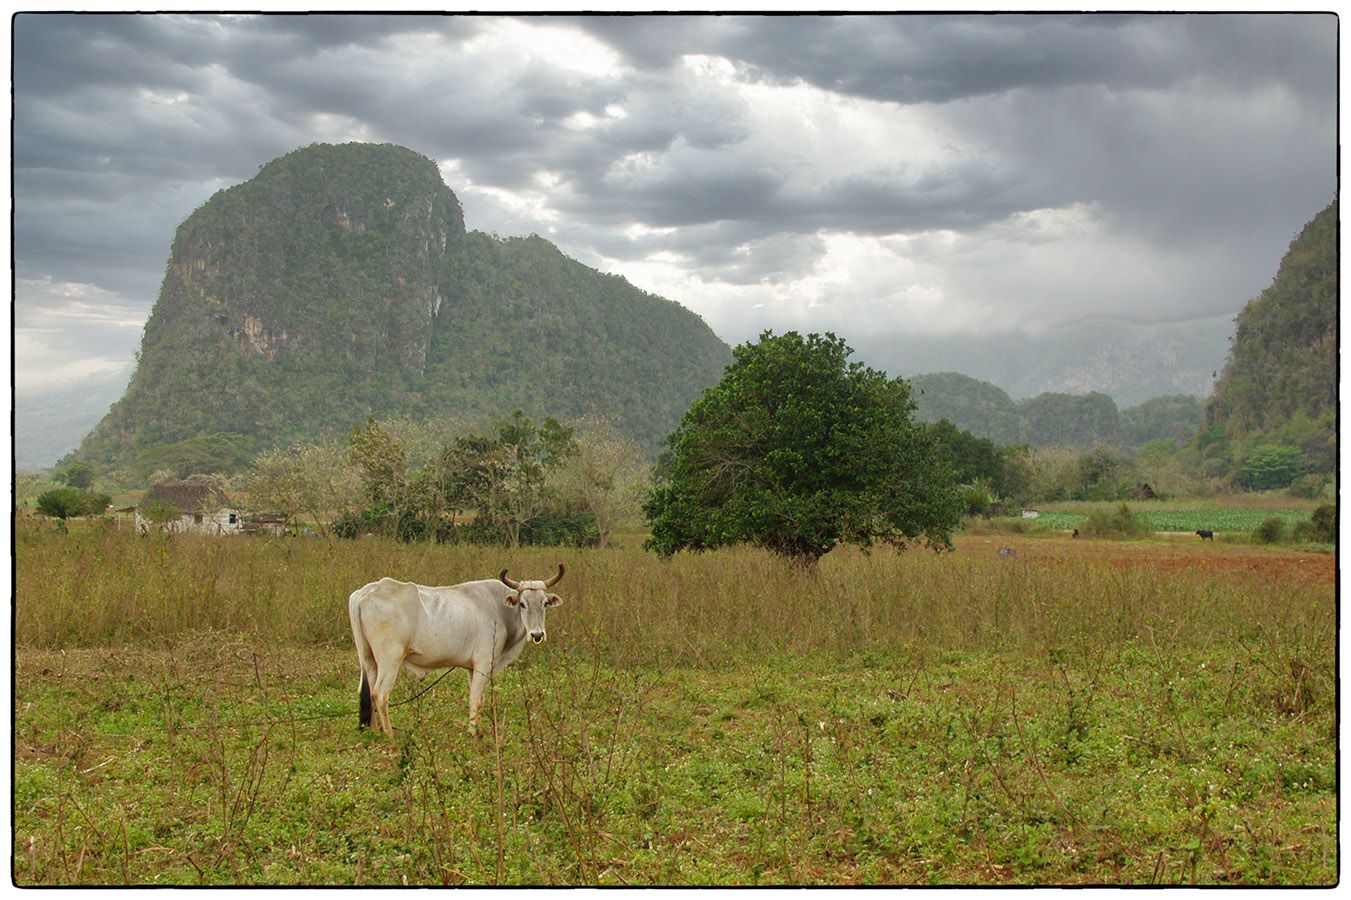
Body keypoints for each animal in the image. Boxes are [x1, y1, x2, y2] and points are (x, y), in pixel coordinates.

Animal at [348, 564, 564, 735]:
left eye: (545, 603)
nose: (537, 634)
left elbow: (480, 699)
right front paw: (472, 732)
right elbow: (475, 699)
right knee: (380, 695)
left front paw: (479, 728)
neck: (499, 609)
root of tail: (366, 592)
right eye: (523, 604)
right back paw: (390, 735)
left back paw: (375, 731)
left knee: (367, 692)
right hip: (390, 661)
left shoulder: (472, 668)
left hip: (369, 660)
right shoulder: (483, 662)